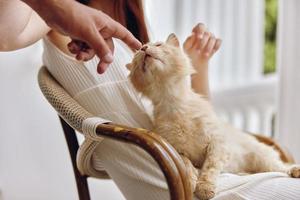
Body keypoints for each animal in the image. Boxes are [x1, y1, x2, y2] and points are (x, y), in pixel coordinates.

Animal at [125, 33, 300, 199]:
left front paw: (204, 188)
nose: (144, 48)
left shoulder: (217, 144)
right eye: (137, 55)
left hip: (263, 159)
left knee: (282, 167)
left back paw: (294, 170)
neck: (173, 104)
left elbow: (209, 168)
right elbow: (186, 163)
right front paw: (191, 179)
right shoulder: (176, 149)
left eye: (158, 45)